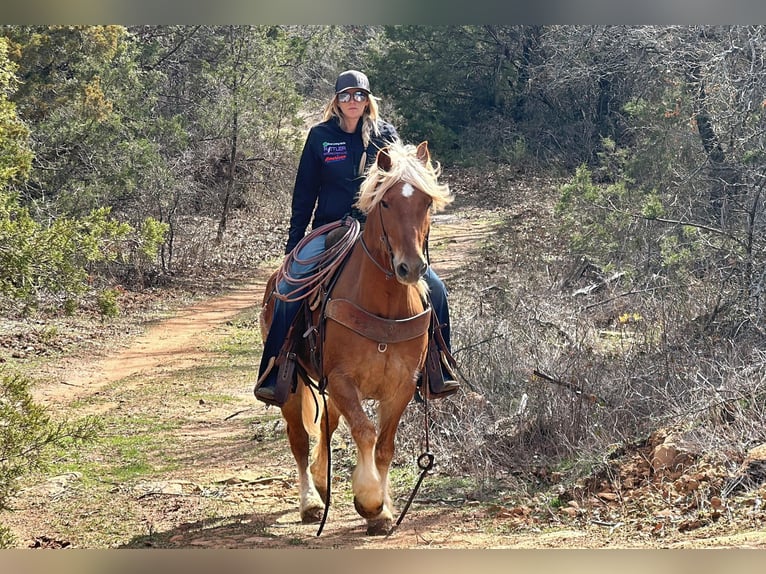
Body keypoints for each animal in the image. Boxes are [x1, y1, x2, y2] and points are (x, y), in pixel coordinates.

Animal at [260, 141, 450, 536]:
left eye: (426, 202)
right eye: (386, 202)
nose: (411, 267)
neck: (385, 306)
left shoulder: (400, 386)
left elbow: (385, 446)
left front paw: (385, 509)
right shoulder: (343, 381)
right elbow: (364, 432)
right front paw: (370, 502)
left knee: (327, 425)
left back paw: (321, 481)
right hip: (292, 383)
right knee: (299, 439)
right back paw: (311, 503)